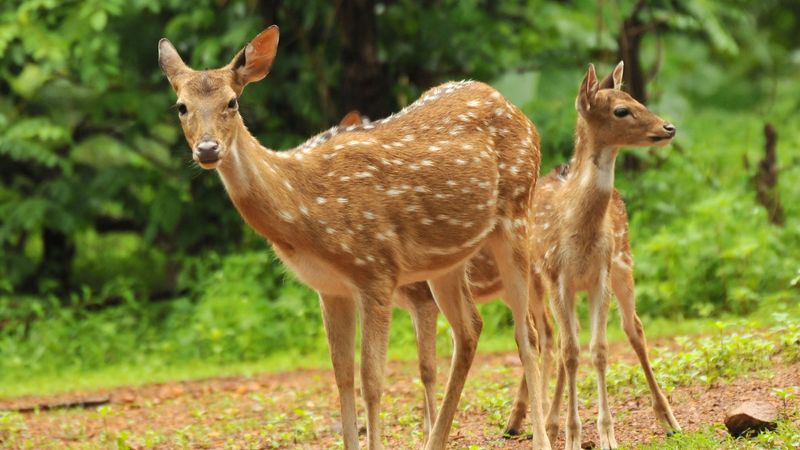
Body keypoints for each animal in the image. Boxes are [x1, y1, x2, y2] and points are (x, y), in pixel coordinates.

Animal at [159, 26, 552, 448]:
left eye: (232, 102)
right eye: (181, 106)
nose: (207, 149)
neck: (305, 210)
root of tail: (521, 115)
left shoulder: (376, 269)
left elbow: (372, 379)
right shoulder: (330, 288)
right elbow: (342, 375)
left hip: (516, 216)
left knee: (527, 334)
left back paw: (539, 435)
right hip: (447, 259)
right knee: (469, 330)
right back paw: (436, 439)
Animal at [536, 61, 684, 448]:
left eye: (635, 98)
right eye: (621, 110)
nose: (669, 127)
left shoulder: (600, 274)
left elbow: (600, 350)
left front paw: (607, 436)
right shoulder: (558, 278)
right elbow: (571, 353)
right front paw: (572, 435)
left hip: (624, 262)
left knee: (635, 328)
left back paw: (669, 419)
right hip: (538, 281)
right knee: (562, 343)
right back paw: (552, 424)